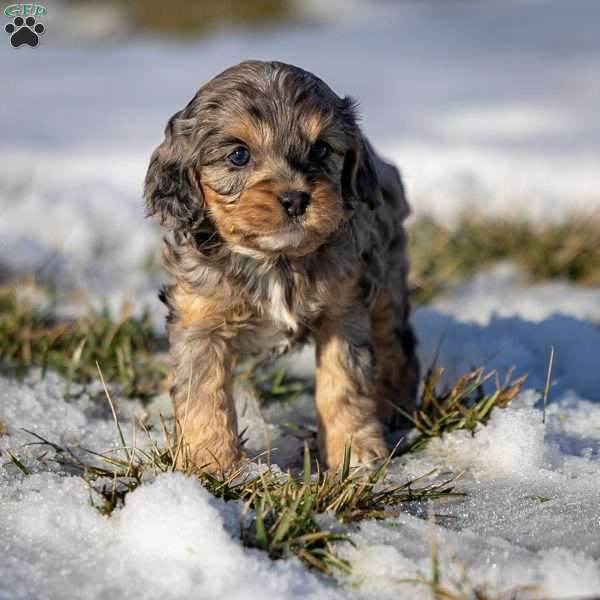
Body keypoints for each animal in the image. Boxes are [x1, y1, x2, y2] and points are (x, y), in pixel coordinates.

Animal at [144, 61, 420, 474]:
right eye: (238, 155)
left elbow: (344, 385)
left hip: (386, 281)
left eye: (321, 149)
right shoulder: (199, 320)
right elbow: (202, 393)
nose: (296, 199)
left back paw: (396, 406)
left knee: (395, 345)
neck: (275, 260)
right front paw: (212, 464)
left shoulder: (343, 311)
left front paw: (355, 453)